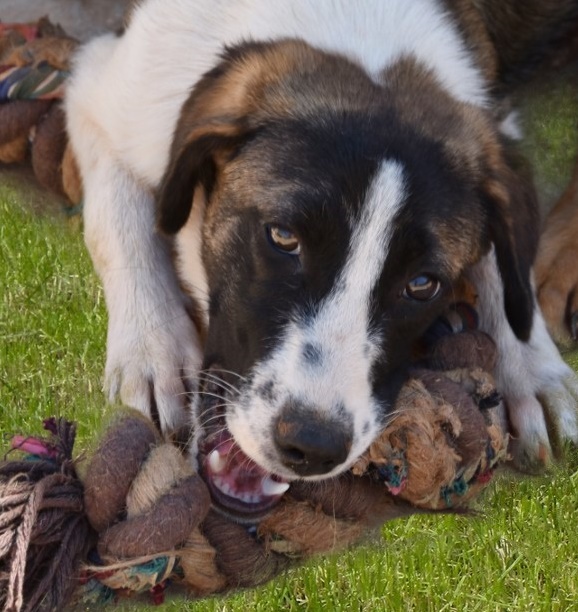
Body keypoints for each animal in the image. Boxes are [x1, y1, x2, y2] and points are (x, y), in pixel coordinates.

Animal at [66, 0, 578, 521]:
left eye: (422, 284)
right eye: (283, 237)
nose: (312, 447)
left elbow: (506, 261)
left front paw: (531, 365)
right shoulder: (106, 89)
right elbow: (114, 214)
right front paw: (154, 348)